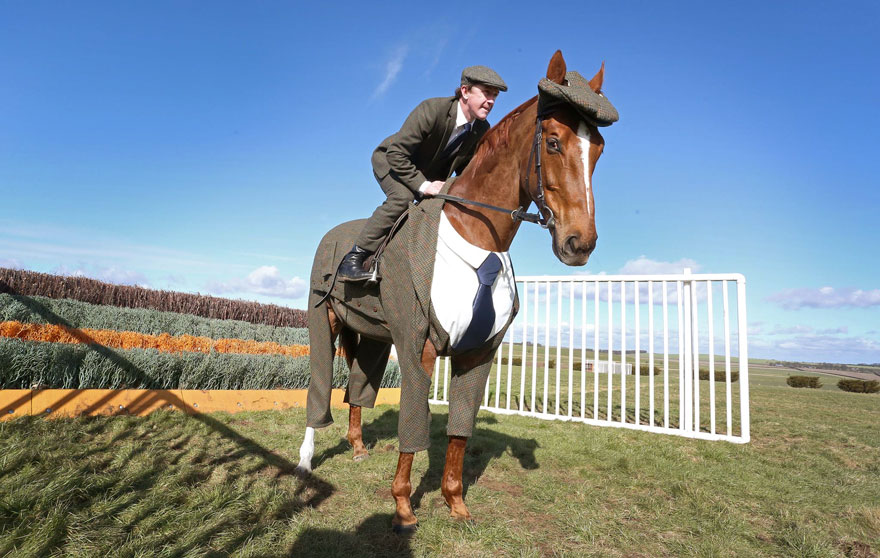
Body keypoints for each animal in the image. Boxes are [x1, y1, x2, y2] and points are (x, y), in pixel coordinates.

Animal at [295, 50, 616, 533]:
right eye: (554, 142)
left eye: (597, 147)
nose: (579, 244)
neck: (475, 236)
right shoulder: (418, 346)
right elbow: (413, 425)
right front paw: (403, 507)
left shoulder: (479, 353)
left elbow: (459, 433)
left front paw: (455, 503)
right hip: (325, 320)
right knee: (320, 385)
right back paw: (305, 459)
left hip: (372, 336)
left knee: (357, 388)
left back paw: (357, 447)